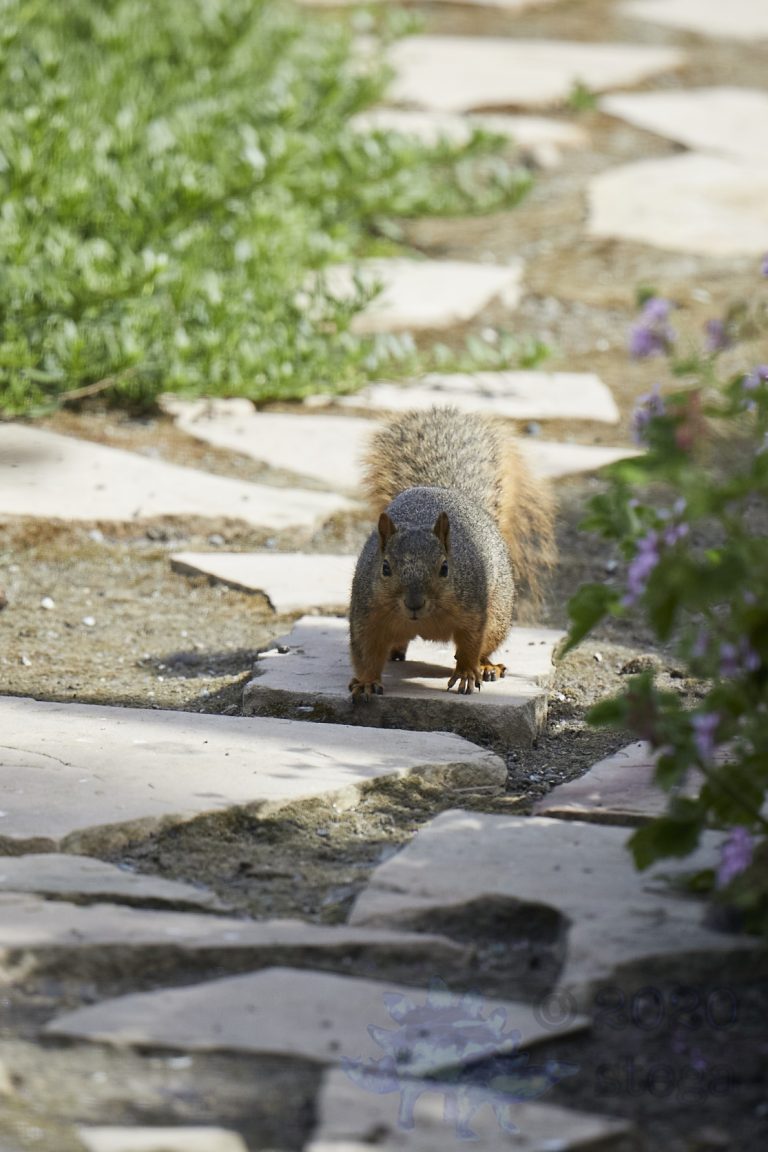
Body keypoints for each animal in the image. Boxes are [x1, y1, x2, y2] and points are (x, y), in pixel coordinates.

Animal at [348, 406, 556, 698]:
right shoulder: (366, 615)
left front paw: (467, 673)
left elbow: (470, 643)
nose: (414, 603)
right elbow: (365, 652)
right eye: (385, 568)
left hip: (498, 615)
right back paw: (396, 650)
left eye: (445, 568)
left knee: (485, 644)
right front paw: (366, 682)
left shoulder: (473, 610)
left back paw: (487, 667)